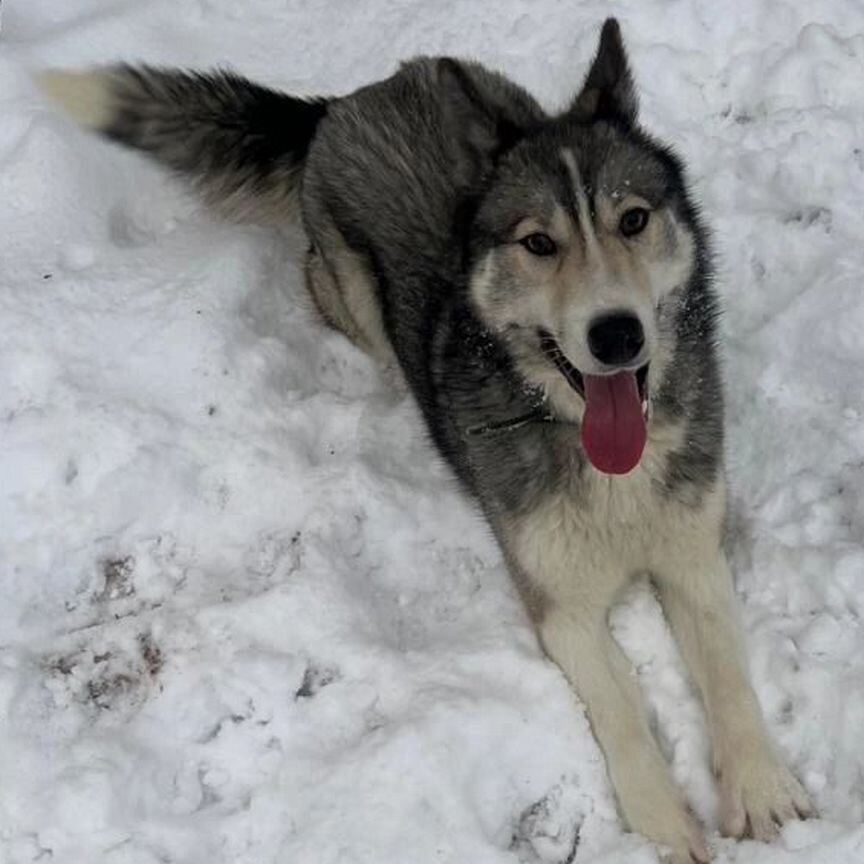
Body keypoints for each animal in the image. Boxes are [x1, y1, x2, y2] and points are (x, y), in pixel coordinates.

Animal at [38, 20, 808, 864]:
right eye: (539, 243)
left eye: (633, 220)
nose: (617, 335)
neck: (598, 451)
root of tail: (345, 102)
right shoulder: (560, 608)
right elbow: (624, 714)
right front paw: (667, 826)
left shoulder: (693, 550)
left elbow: (727, 672)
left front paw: (760, 786)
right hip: (352, 292)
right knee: (325, 286)